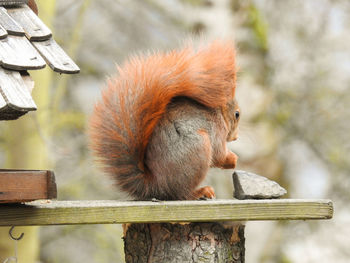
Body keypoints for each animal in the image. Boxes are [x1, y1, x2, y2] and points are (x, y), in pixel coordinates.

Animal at [89, 40, 239, 200]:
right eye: (237, 114)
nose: (236, 137)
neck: (219, 114)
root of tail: (155, 185)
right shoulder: (217, 129)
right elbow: (218, 155)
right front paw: (233, 159)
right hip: (198, 148)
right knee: (181, 193)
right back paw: (200, 192)